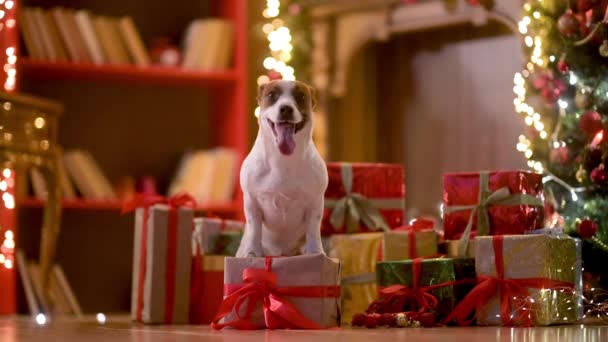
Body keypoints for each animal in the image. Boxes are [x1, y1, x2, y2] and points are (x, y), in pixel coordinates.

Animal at [238, 80, 330, 256]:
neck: (283, 160)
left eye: (301, 96)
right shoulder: (252, 202)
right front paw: (252, 253)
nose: (286, 108)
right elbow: (254, 230)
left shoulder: (315, 203)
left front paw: (315, 252)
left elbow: (313, 231)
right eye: (271, 95)